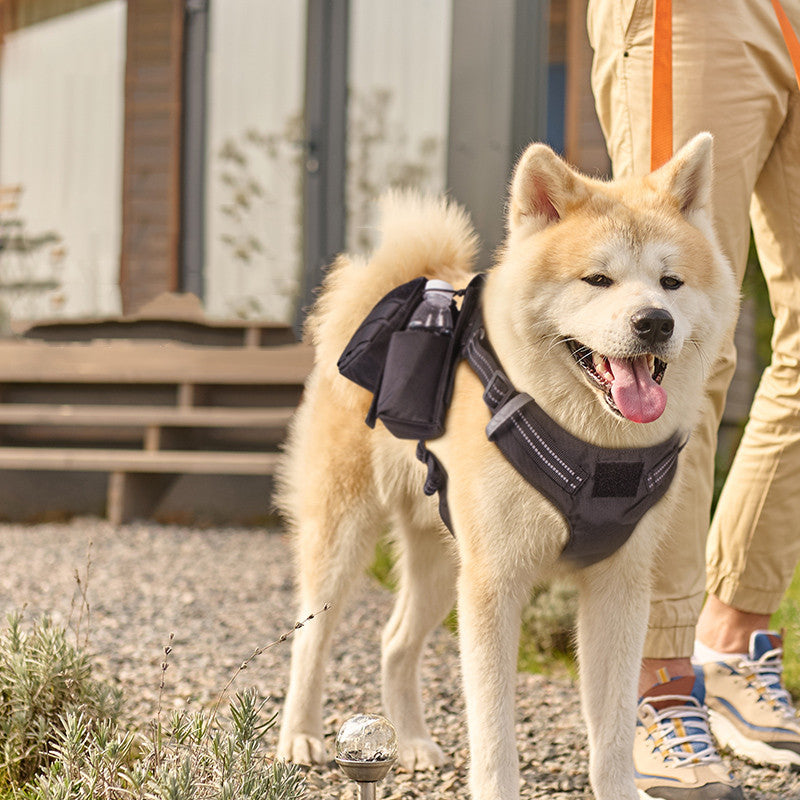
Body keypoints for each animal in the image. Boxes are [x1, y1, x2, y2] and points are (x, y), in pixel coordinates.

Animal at [276, 134, 736, 796]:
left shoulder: (619, 587)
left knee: (394, 642)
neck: (594, 446)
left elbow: (613, 729)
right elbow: (494, 732)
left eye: (670, 282)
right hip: (344, 539)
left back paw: (410, 742)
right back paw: (301, 736)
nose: (654, 321)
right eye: (598, 279)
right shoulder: (495, 585)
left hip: (442, 559)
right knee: (311, 641)